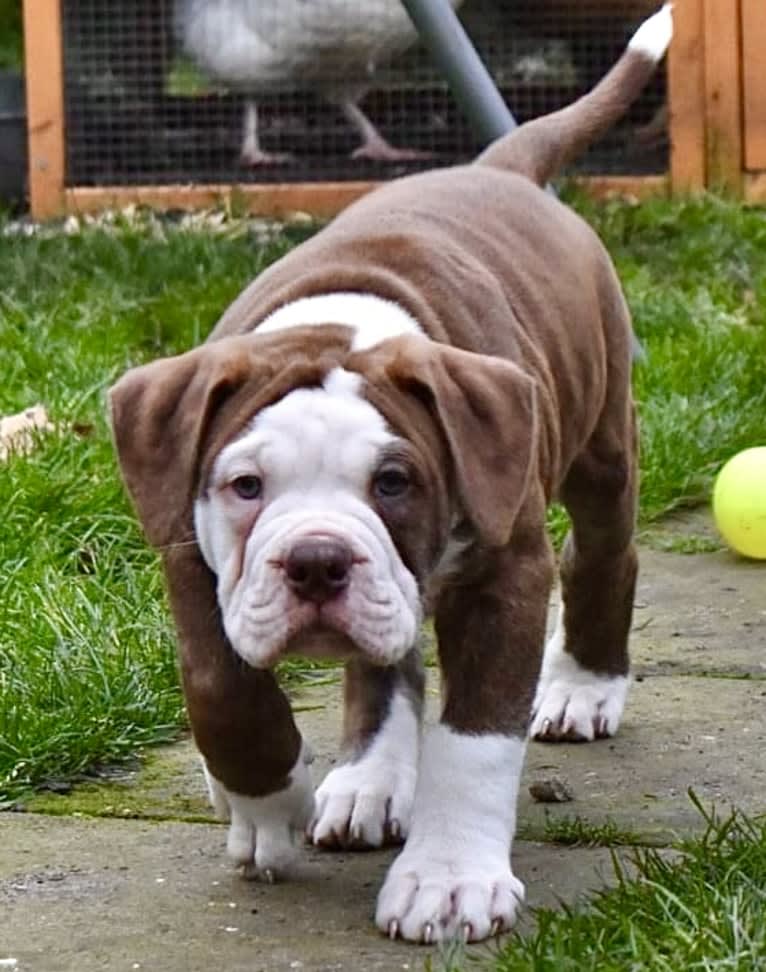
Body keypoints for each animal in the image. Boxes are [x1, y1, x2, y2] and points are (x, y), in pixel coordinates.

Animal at [111, 7, 676, 944]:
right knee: (385, 663)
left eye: (394, 483)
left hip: (600, 441)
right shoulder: (193, 562)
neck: (344, 322)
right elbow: (221, 693)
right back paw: (367, 781)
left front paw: (448, 881)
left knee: (604, 553)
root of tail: (497, 167)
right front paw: (269, 802)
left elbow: (476, 741)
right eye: (245, 487)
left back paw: (582, 688)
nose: (316, 564)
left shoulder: (505, 574)